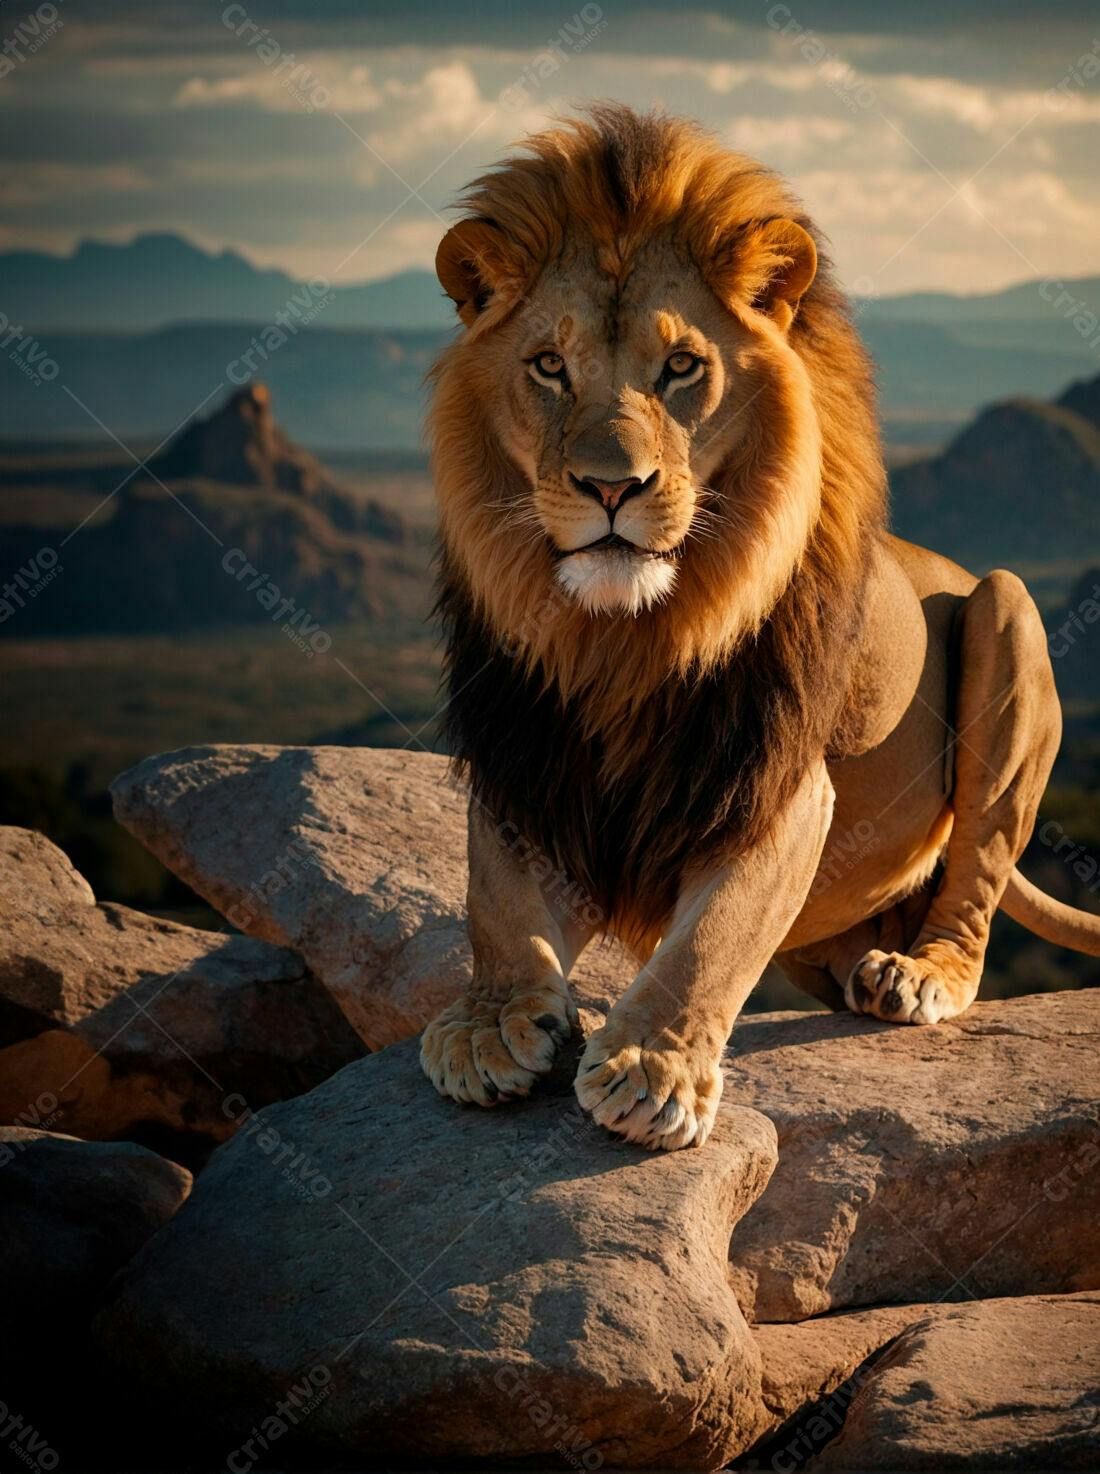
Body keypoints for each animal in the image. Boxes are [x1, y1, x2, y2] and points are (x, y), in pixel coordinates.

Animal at [419, 104, 1100, 1150]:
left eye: (681, 368)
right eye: (548, 366)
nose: (610, 487)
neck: (621, 639)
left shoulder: (775, 783)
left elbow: (716, 934)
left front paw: (651, 1065)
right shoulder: (527, 763)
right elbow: (494, 902)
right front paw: (491, 1022)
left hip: (1008, 607)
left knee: (975, 883)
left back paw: (916, 975)